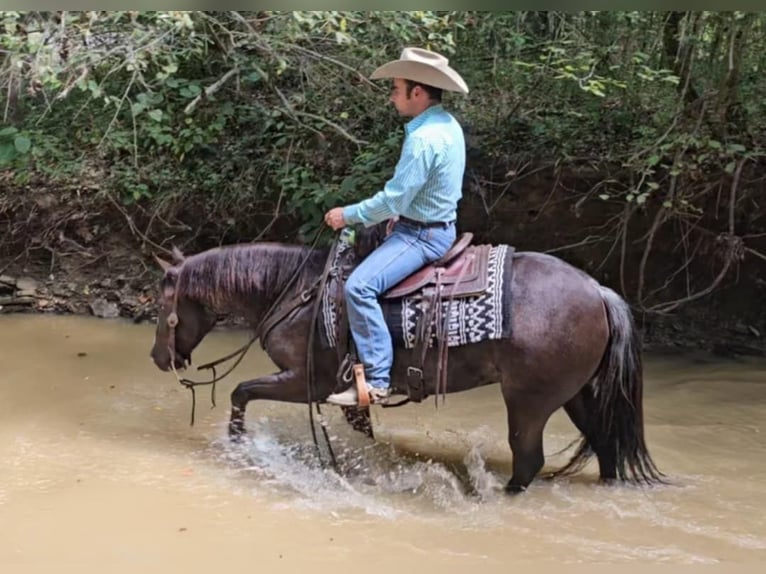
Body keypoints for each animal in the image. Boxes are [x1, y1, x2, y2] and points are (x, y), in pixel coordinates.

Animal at [152, 235, 664, 496]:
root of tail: (598, 291)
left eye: (161, 305)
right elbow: (362, 432)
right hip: (576, 394)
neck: (296, 292)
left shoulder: (306, 383)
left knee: (529, 459)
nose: (159, 358)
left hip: (529, 400)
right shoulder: (342, 393)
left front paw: (238, 444)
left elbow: (240, 392)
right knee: (606, 446)